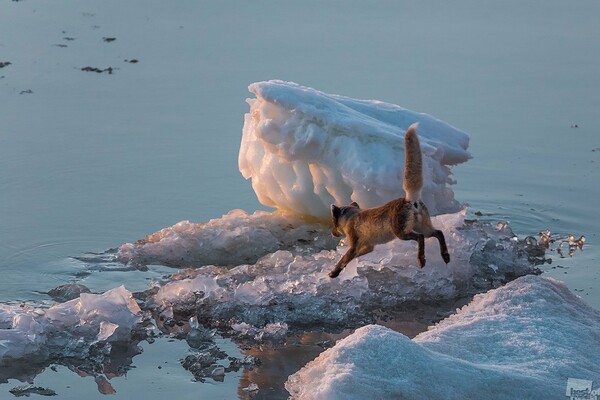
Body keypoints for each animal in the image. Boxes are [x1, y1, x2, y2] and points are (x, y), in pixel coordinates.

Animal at [328, 124, 450, 278]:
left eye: (334, 223)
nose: (332, 233)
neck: (352, 217)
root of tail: (409, 199)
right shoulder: (368, 247)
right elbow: (351, 258)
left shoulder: (354, 244)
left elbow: (343, 259)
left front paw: (334, 273)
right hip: (423, 227)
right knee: (439, 232)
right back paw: (445, 256)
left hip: (402, 233)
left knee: (420, 237)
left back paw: (421, 259)